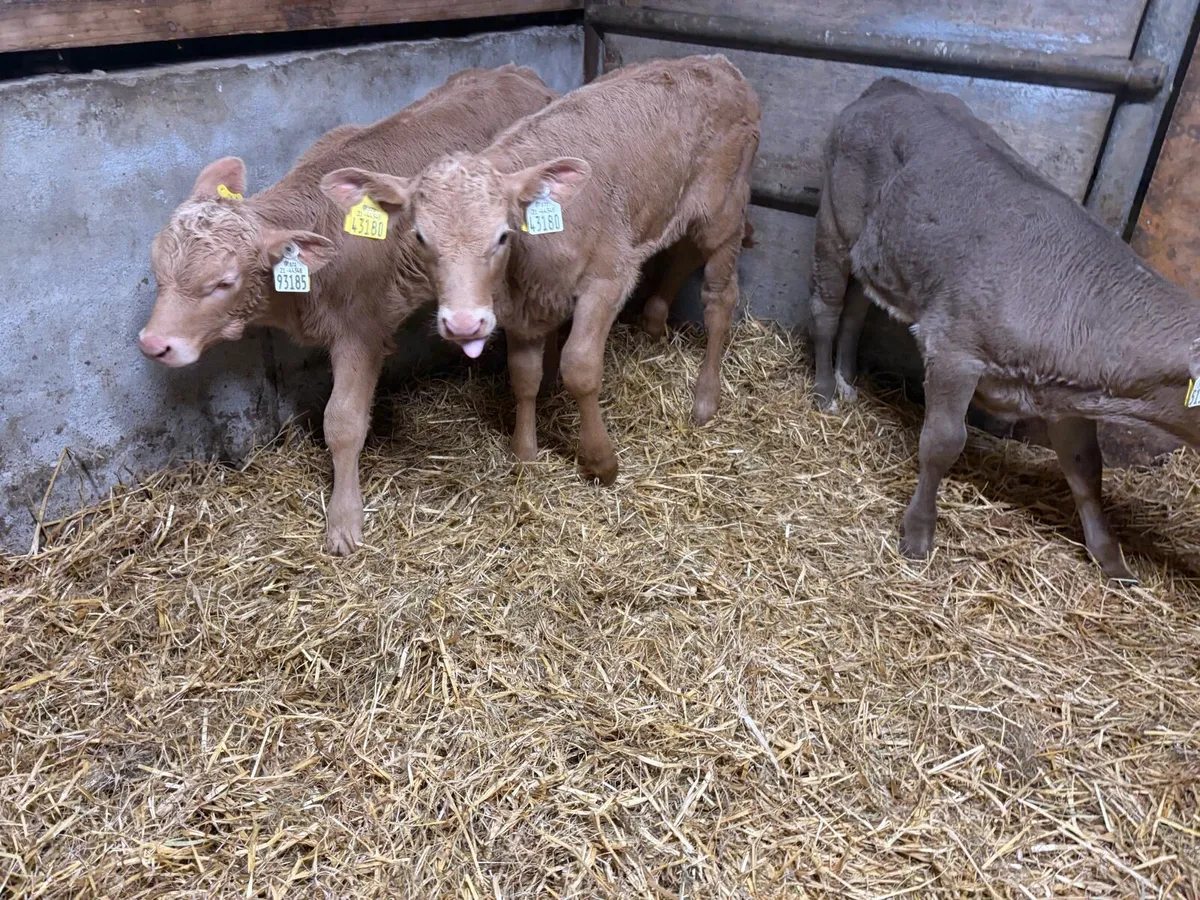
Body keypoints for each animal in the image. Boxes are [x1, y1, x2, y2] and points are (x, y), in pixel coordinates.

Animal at [137, 65, 557, 555]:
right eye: (157, 266)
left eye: (224, 282)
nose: (155, 344)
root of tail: (517, 73)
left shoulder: (363, 330)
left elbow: (342, 421)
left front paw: (343, 521)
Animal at [320, 55, 761, 486]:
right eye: (419, 237)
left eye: (503, 235)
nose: (464, 325)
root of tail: (718, 63)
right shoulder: (521, 306)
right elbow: (524, 375)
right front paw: (525, 452)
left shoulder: (608, 278)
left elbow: (579, 366)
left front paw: (600, 461)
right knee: (683, 253)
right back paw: (654, 322)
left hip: (724, 209)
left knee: (719, 297)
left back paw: (705, 399)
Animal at [812, 76, 1200, 583]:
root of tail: (891, 85)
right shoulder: (954, 349)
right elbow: (942, 442)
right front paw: (918, 534)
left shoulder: (1066, 396)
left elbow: (1086, 469)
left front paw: (1111, 560)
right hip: (834, 224)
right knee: (826, 307)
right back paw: (823, 390)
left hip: (874, 253)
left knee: (857, 310)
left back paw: (848, 379)